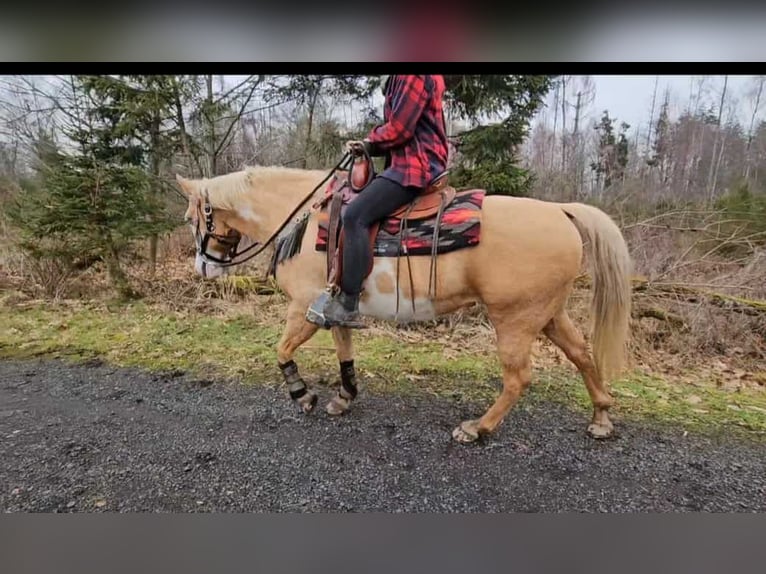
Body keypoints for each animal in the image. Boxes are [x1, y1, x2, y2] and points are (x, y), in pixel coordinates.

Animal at [175, 161, 632, 444]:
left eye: (191, 218)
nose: (203, 268)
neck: (303, 218)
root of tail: (560, 211)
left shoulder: (303, 308)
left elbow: (282, 350)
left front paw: (303, 396)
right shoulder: (335, 307)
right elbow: (344, 352)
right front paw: (343, 398)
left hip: (515, 320)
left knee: (519, 378)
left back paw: (476, 428)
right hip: (549, 313)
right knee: (582, 354)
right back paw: (601, 418)